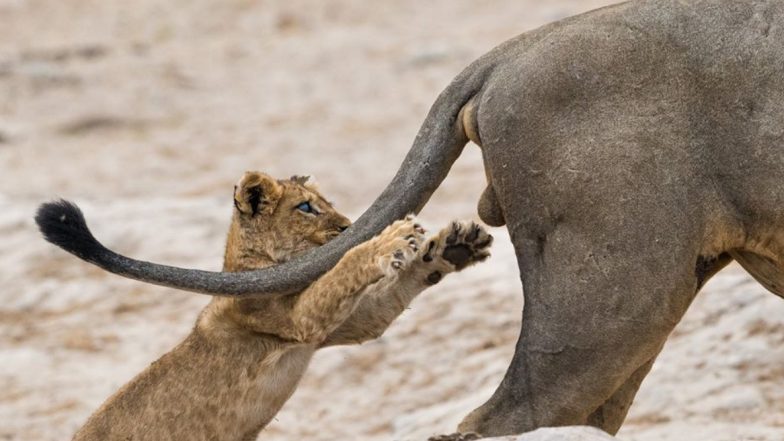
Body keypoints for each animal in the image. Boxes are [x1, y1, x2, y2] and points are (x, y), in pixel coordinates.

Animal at [52, 171, 491, 441]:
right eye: (306, 208)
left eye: (325, 201)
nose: (349, 227)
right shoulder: (296, 320)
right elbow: (344, 267)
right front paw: (389, 239)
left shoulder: (339, 327)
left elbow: (383, 302)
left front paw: (455, 245)